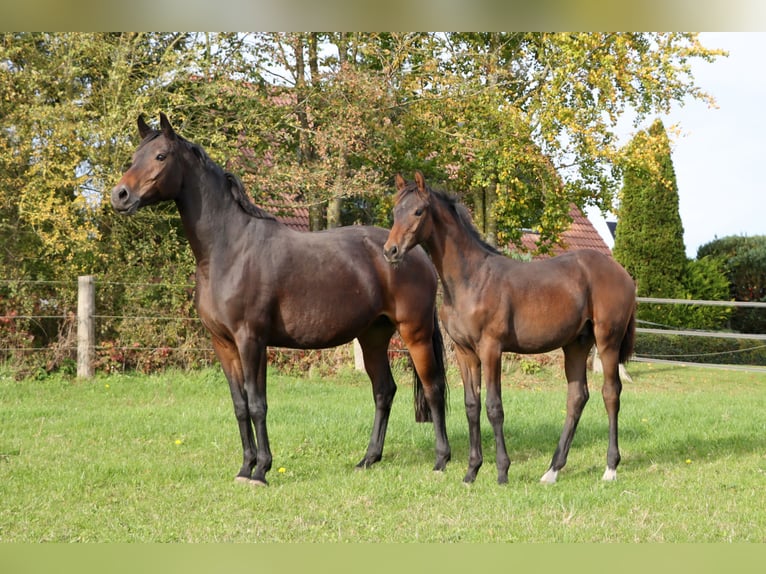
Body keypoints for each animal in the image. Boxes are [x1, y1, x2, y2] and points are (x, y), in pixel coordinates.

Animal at [110, 114, 450, 485]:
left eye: (160, 156)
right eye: (133, 156)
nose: (120, 195)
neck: (228, 250)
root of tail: (414, 253)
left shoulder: (251, 340)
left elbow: (258, 404)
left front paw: (261, 471)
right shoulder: (223, 344)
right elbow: (240, 405)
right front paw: (244, 468)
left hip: (414, 333)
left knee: (433, 389)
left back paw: (442, 459)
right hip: (372, 336)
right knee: (384, 391)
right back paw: (368, 459)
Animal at [383, 172, 636, 484]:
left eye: (418, 211)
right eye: (395, 211)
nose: (390, 251)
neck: (471, 279)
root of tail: (623, 274)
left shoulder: (491, 348)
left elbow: (494, 407)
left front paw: (502, 471)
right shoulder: (465, 352)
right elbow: (472, 406)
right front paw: (471, 471)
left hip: (608, 340)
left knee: (611, 393)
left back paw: (610, 468)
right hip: (576, 344)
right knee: (577, 397)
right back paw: (552, 471)